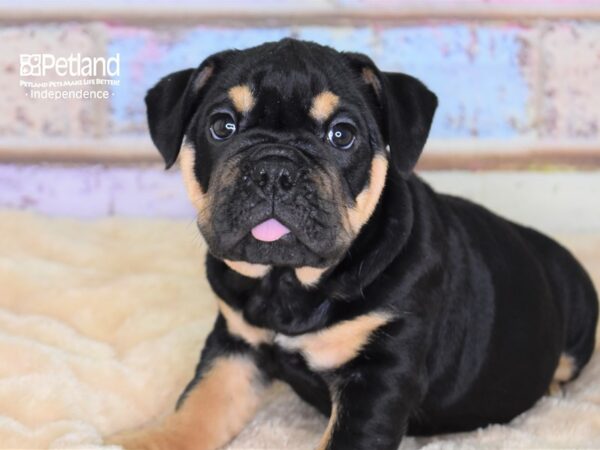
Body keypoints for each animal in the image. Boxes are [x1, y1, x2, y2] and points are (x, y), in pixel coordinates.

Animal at [106, 38, 596, 450]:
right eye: (222, 126)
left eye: (342, 134)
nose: (274, 170)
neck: (288, 284)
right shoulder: (235, 348)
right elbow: (197, 407)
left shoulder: (379, 374)